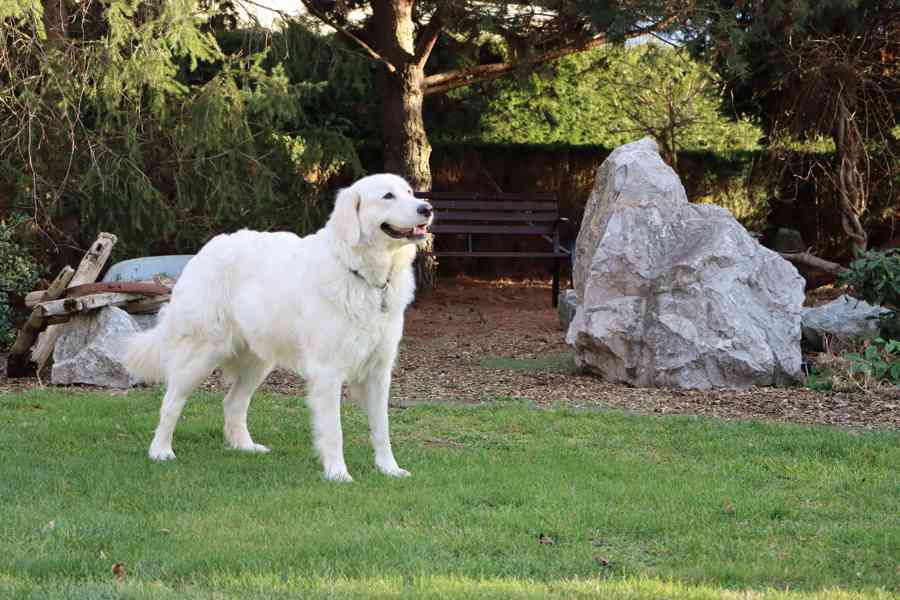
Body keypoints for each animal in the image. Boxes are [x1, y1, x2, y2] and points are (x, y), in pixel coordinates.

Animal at [124, 173, 432, 482]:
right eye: (388, 196)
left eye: (409, 192)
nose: (427, 208)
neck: (364, 276)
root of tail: (204, 251)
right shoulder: (328, 371)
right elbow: (334, 431)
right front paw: (337, 474)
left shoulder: (379, 371)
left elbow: (382, 428)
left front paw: (389, 469)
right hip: (200, 356)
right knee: (170, 403)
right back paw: (161, 451)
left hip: (258, 362)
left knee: (233, 403)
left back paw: (245, 447)